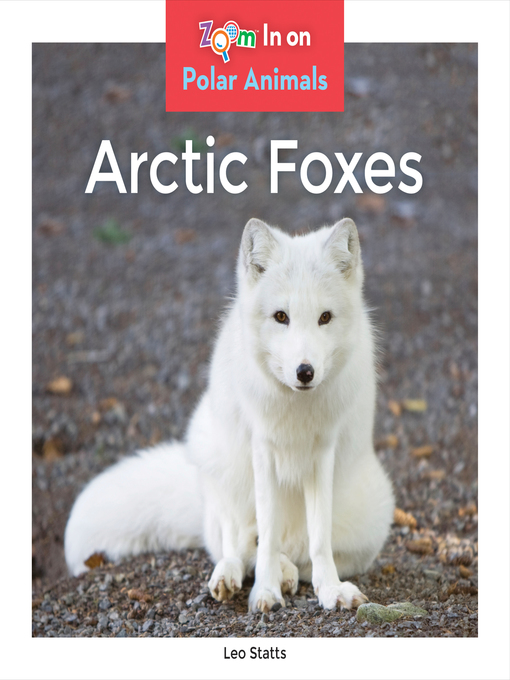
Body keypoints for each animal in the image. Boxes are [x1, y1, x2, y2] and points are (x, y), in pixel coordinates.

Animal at [64, 218, 395, 613]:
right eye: (281, 317)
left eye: (325, 318)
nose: (305, 372)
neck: (295, 412)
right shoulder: (262, 449)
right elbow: (265, 536)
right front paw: (265, 591)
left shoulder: (322, 452)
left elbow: (319, 539)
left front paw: (329, 590)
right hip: (220, 470)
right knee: (236, 544)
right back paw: (234, 576)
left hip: (371, 519)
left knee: (297, 555)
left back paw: (289, 573)